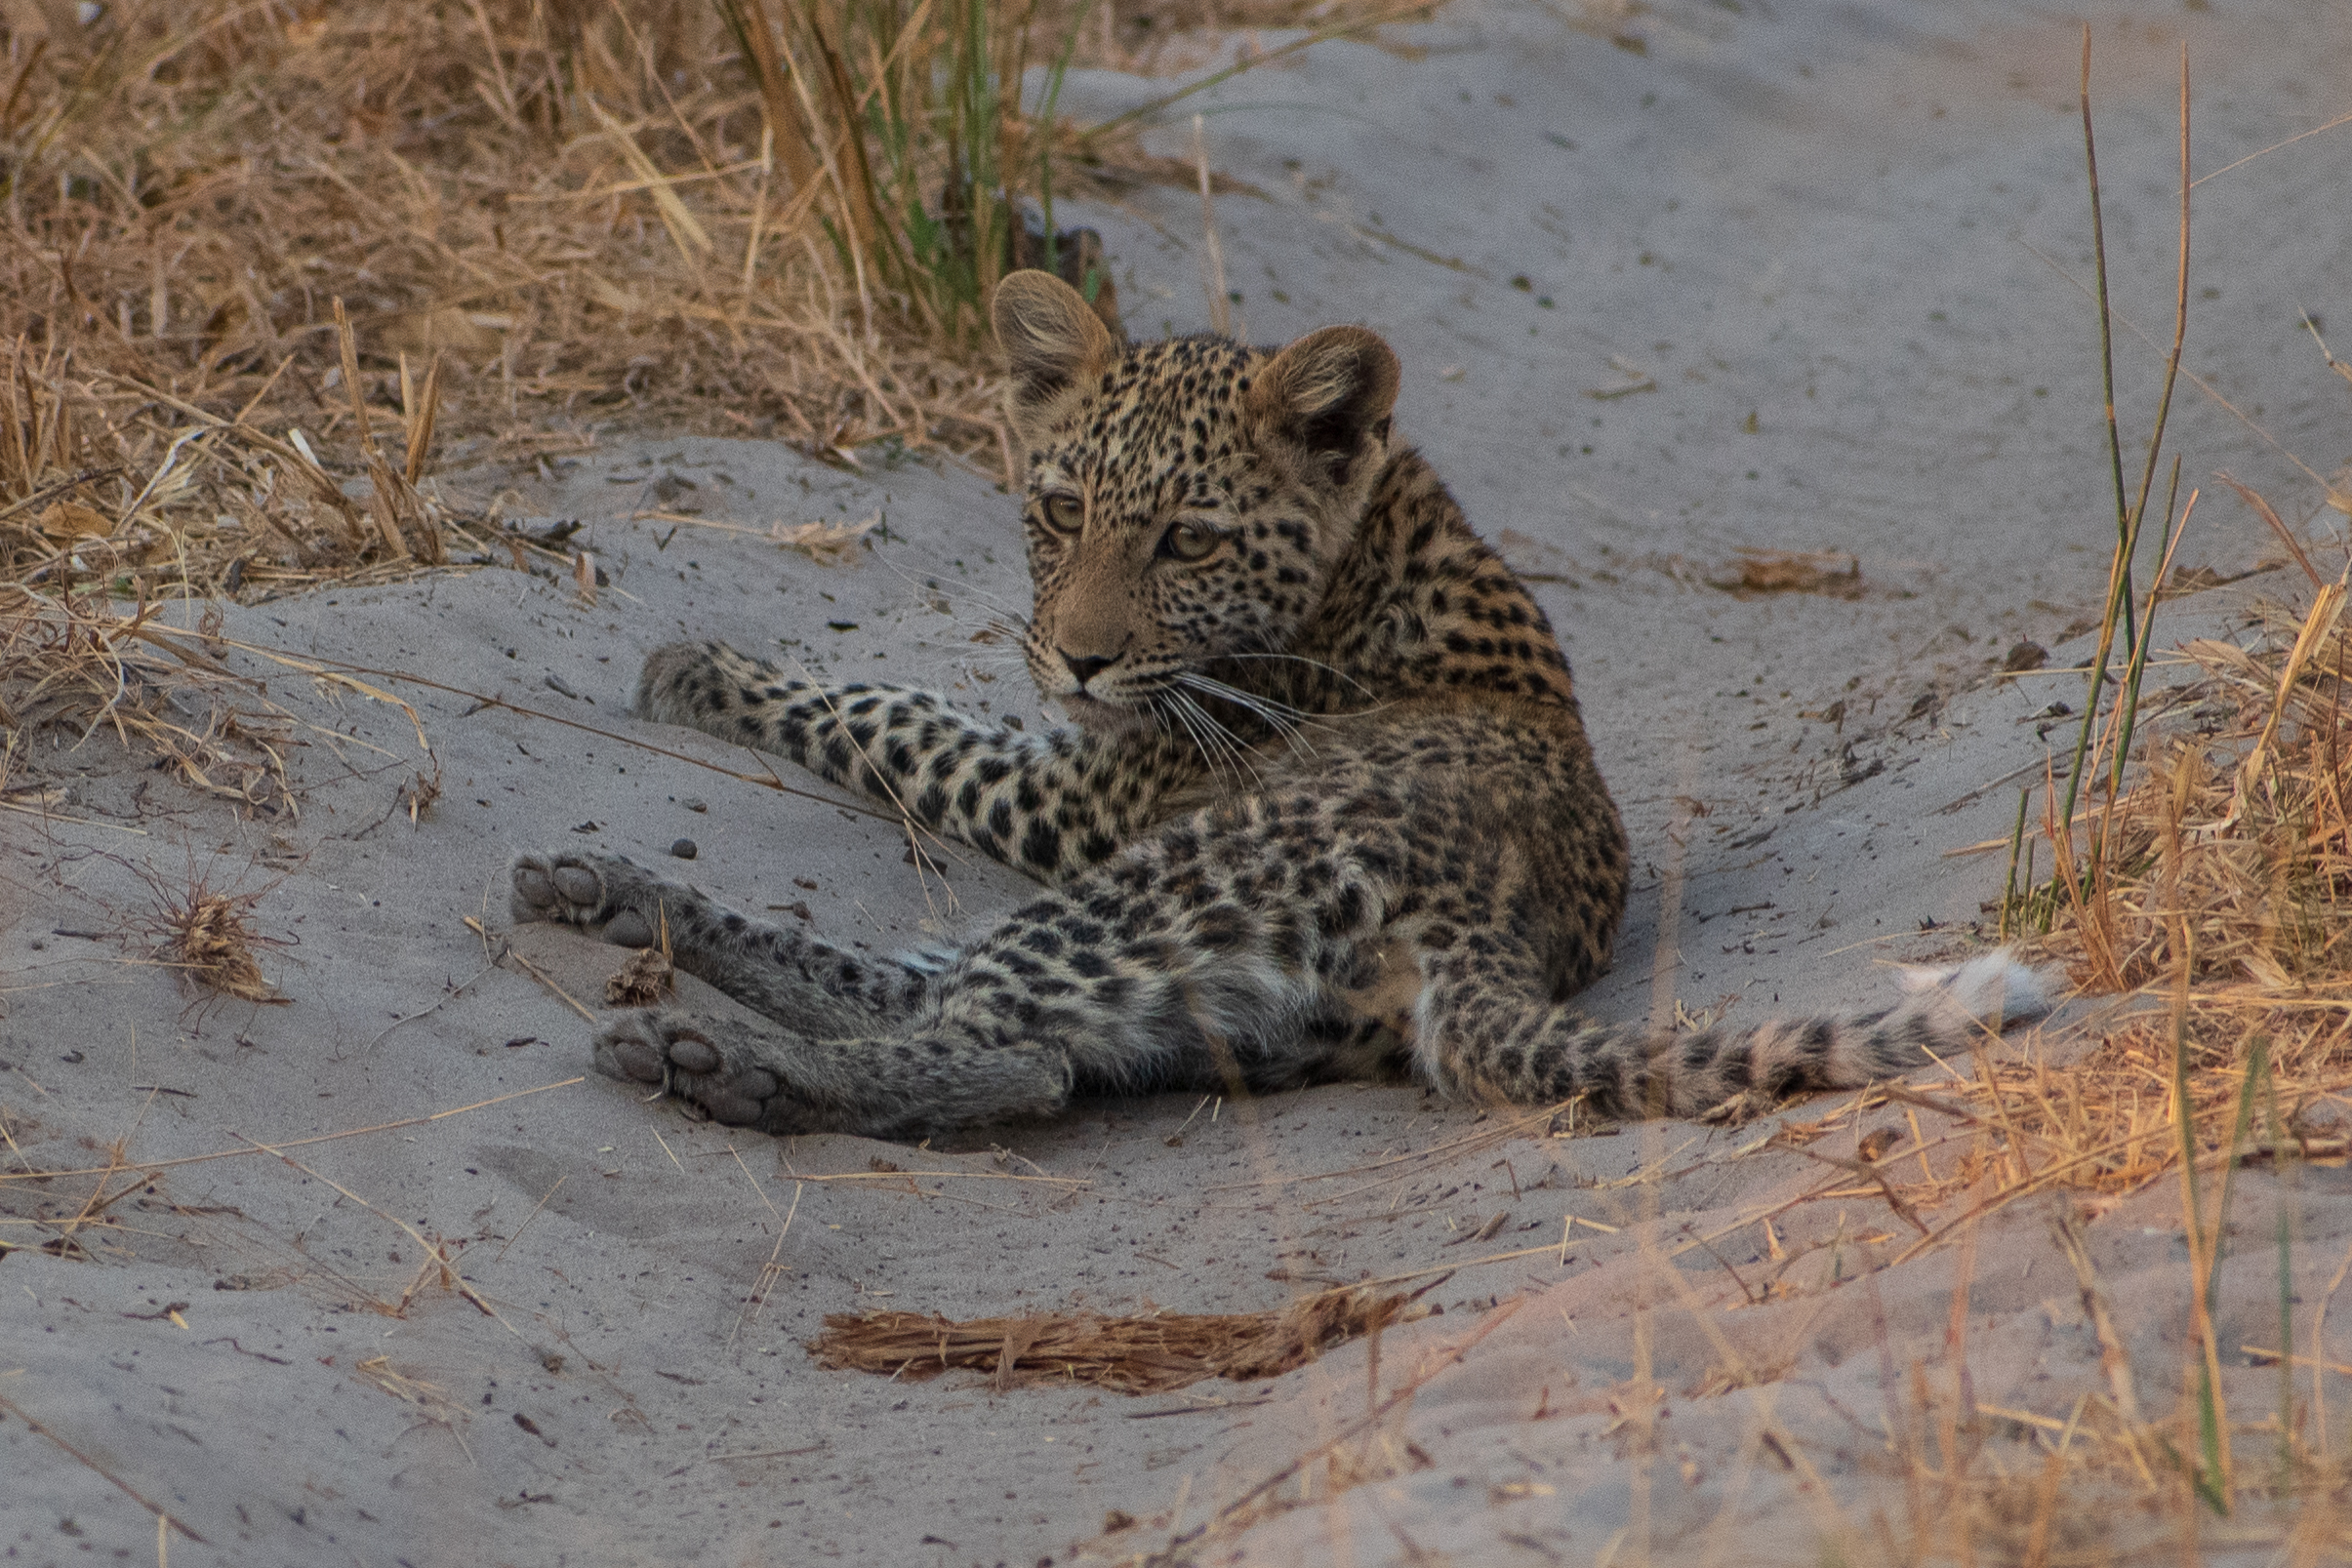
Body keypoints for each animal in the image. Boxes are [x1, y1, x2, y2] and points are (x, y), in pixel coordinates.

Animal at [506, 269, 2045, 1140]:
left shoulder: (1082, 791)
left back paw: (705, 1054)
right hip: (1203, 984)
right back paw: (613, 894)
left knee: (1001, 1051)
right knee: (936, 1001)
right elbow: (927, 707)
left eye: (1186, 540)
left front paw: (696, 669)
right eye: (1058, 512)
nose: (1073, 656)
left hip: (1173, 878)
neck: (1371, 539)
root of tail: (1496, 924)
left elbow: (899, 715)